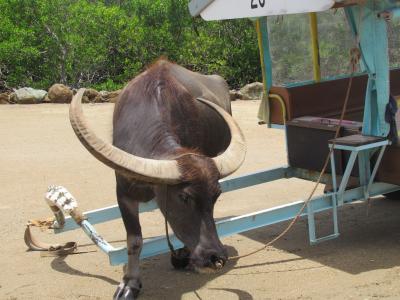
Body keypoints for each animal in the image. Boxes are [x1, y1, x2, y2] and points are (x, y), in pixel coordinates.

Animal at [69, 59, 245, 298]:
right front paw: (130, 284)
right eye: (184, 197)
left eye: (216, 195)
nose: (215, 257)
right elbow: (134, 240)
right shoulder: (123, 193)